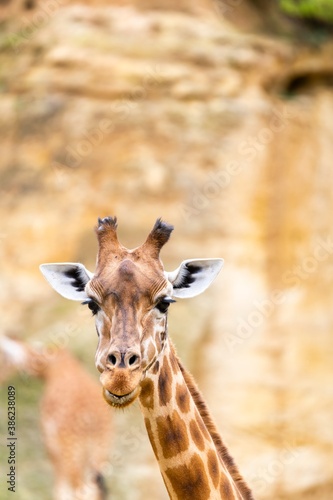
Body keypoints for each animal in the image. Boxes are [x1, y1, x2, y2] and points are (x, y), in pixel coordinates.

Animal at [0, 336, 111, 500]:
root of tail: (89, 420)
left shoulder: (51, 443)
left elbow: (61, 486)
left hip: (73, 453)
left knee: (80, 489)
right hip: (98, 451)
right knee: (93, 488)